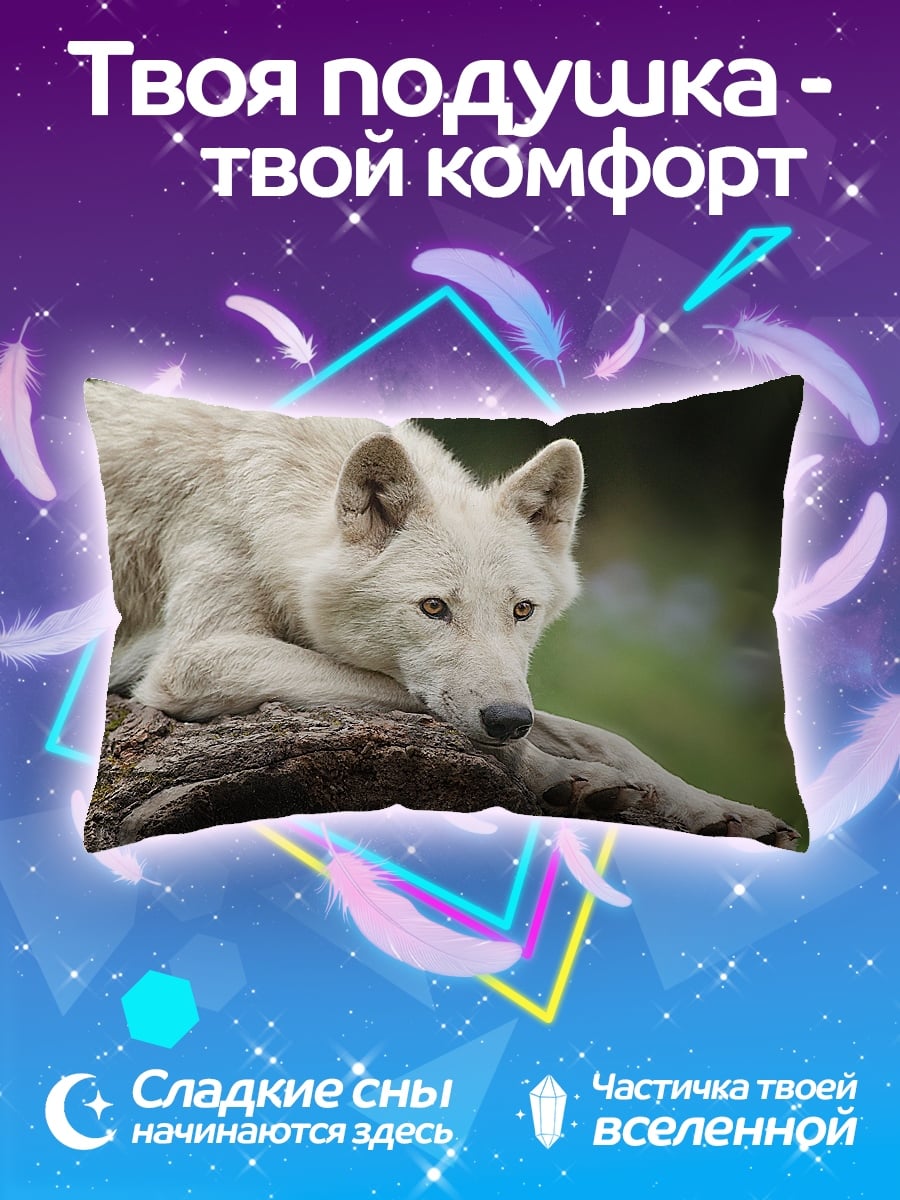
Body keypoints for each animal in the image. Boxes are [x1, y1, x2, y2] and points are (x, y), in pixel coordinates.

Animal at [86, 379, 799, 848]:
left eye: (522, 610)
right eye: (433, 608)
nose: (509, 719)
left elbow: (605, 736)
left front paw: (718, 810)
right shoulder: (192, 661)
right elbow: (419, 705)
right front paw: (560, 776)